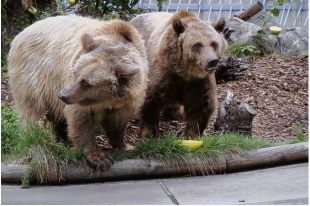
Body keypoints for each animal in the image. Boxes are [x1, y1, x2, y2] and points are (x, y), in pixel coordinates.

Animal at [7, 15, 148, 171]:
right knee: (34, 111)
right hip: (34, 77)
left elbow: (117, 122)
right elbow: (80, 119)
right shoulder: (78, 96)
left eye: (86, 83)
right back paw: (42, 138)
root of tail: (20, 34)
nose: (62, 95)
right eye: (75, 72)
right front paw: (99, 158)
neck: (106, 100)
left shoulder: (127, 99)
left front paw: (126, 145)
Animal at [129, 10, 228, 138]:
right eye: (197, 45)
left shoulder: (198, 81)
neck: (184, 71)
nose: (212, 61)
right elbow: (151, 99)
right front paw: (148, 132)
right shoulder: (164, 71)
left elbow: (200, 105)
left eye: (214, 44)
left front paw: (193, 134)